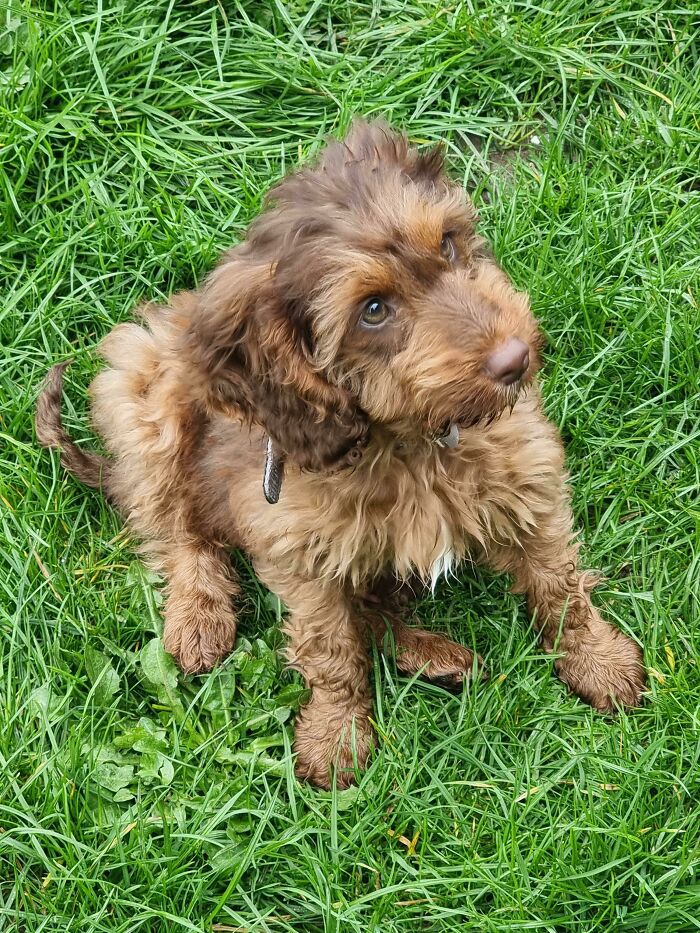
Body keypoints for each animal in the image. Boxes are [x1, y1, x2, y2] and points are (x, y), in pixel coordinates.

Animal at [34, 118, 644, 788]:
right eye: (372, 310)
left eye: (450, 245)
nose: (515, 360)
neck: (411, 441)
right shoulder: (296, 548)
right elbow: (328, 646)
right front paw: (336, 735)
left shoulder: (527, 473)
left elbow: (558, 582)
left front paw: (599, 659)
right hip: (142, 388)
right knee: (175, 527)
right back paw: (197, 618)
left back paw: (434, 655)